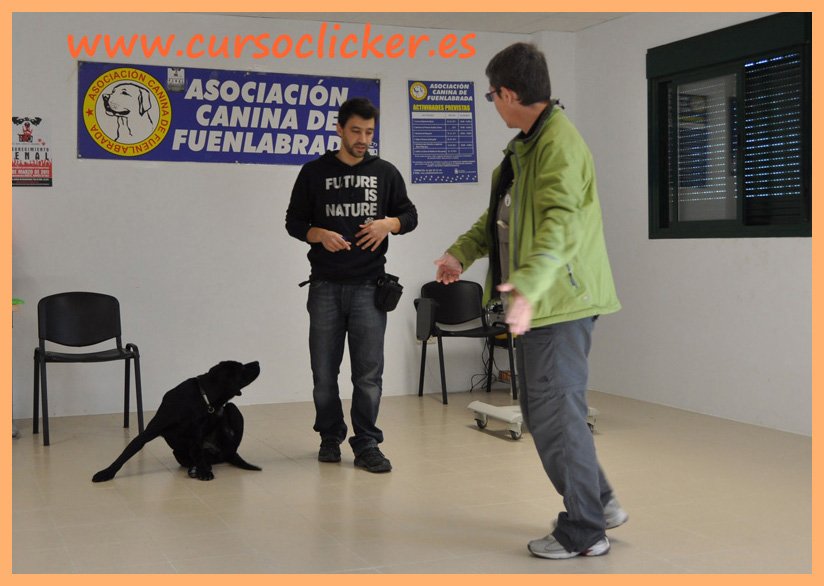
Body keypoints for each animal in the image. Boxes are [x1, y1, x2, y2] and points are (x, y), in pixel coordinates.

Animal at [92, 360, 261, 482]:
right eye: (241, 368)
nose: (258, 362)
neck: (202, 397)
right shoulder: (150, 430)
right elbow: (128, 450)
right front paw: (106, 472)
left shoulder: (197, 434)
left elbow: (197, 451)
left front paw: (203, 471)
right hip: (178, 453)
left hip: (232, 411)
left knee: (226, 449)